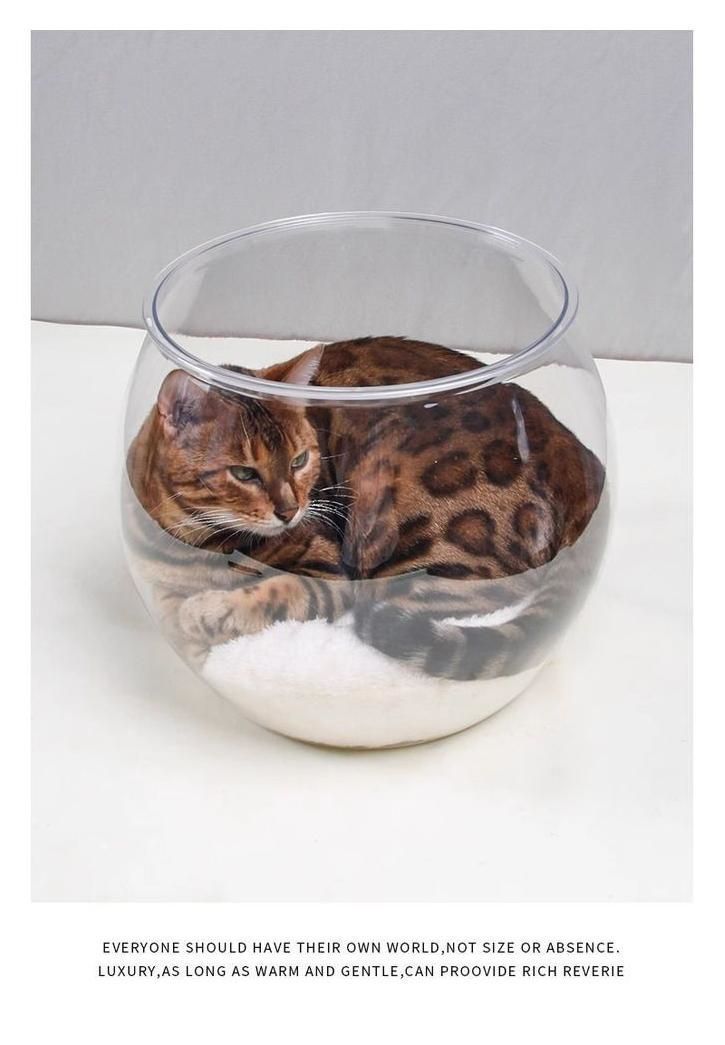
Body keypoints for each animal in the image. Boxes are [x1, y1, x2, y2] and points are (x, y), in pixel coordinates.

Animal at [125, 337, 606, 680]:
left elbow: (281, 592)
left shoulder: (328, 567)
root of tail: (585, 471)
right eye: (244, 473)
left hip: (394, 516)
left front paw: (211, 612)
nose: (290, 511)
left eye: (299, 461)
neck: (203, 543)